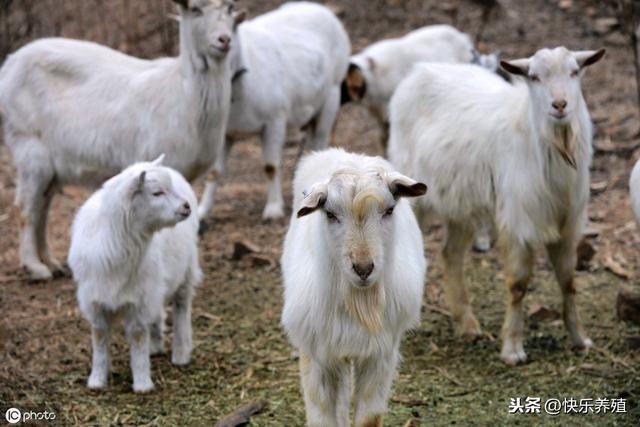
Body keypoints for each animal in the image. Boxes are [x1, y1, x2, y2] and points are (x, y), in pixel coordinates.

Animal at [0, 0, 242, 280]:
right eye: (195, 9)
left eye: (229, 9)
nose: (224, 40)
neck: (183, 93)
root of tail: (8, 67)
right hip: (28, 146)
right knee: (26, 207)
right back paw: (35, 267)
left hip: (53, 165)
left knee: (43, 207)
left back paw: (52, 263)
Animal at [69, 155, 201, 392]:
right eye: (156, 193)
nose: (185, 206)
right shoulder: (94, 300)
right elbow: (99, 337)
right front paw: (97, 380)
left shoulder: (139, 301)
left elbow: (138, 337)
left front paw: (142, 384)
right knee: (158, 312)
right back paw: (156, 347)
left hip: (186, 270)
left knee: (182, 307)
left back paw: (181, 353)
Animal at [199, 0, 352, 221]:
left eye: (232, 27)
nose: (222, 43)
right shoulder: (224, 133)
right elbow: (214, 172)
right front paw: (202, 211)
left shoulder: (274, 120)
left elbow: (270, 167)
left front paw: (273, 210)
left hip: (332, 95)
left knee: (321, 139)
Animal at [282, 148, 428, 427]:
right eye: (329, 214)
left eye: (389, 210)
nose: (363, 268)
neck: (359, 303)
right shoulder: (319, 356)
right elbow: (323, 418)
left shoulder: (379, 356)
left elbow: (369, 418)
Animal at [384, 47, 604, 368]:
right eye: (534, 77)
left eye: (575, 72)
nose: (560, 105)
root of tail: (418, 71)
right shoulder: (518, 220)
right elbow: (518, 284)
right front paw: (512, 349)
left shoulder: (566, 222)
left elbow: (568, 280)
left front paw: (580, 338)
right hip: (413, 193)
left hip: (460, 205)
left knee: (450, 255)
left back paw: (467, 324)